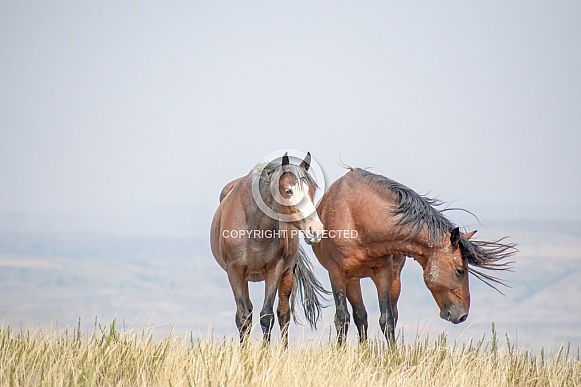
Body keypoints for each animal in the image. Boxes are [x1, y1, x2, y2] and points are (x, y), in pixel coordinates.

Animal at [208, 153, 328, 344]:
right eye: (288, 191)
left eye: (312, 190)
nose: (315, 230)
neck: (255, 227)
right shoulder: (235, 271)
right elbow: (243, 317)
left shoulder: (274, 270)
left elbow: (267, 316)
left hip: (287, 274)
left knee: (284, 315)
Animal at [310, 167, 516, 346]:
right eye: (460, 271)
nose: (462, 315)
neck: (357, 216)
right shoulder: (336, 274)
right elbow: (342, 318)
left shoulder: (383, 273)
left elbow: (387, 319)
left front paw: (393, 356)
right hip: (352, 279)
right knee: (360, 316)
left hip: (389, 279)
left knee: (380, 315)